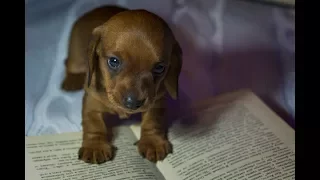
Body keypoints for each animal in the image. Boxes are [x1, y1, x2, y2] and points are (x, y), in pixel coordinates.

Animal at [62, 5, 182, 165]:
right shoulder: (92, 102)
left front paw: (152, 142)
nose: (133, 103)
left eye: (159, 68)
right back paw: (71, 80)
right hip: (75, 56)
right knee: (69, 64)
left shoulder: (157, 101)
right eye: (113, 61)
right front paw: (95, 146)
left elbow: (152, 120)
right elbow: (94, 123)